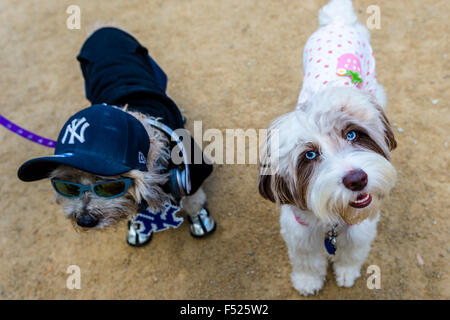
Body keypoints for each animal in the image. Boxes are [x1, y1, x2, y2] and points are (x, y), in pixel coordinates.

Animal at [258, 0, 396, 296]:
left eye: (353, 134)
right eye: (309, 155)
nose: (357, 179)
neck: (333, 222)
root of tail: (338, 21)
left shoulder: (360, 231)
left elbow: (351, 254)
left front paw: (345, 272)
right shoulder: (299, 233)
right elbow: (307, 260)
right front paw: (308, 281)